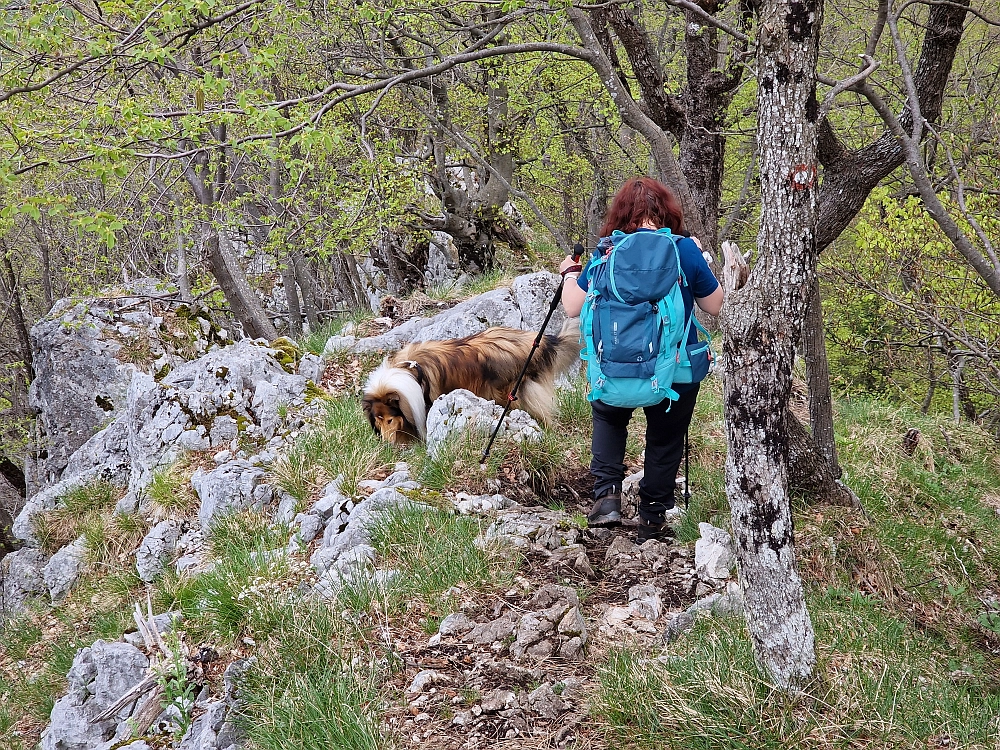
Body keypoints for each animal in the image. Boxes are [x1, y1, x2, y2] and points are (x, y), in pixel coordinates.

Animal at [364, 318, 580, 446]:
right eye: (378, 421)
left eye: (390, 420)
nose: (386, 444)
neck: (407, 371)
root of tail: (541, 341)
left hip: (516, 392)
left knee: (544, 414)